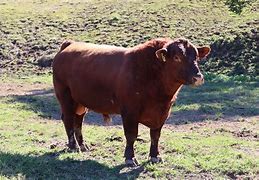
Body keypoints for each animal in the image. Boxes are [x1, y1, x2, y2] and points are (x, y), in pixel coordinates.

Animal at [52, 38, 211, 166]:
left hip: (80, 102)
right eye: (177, 57)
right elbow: (131, 135)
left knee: (78, 121)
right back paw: (74, 146)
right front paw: (130, 158)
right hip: (65, 97)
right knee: (68, 119)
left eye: (196, 57)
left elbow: (155, 135)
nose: (198, 77)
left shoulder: (162, 113)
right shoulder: (129, 112)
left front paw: (155, 156)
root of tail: (69, 45)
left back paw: (83, 145)